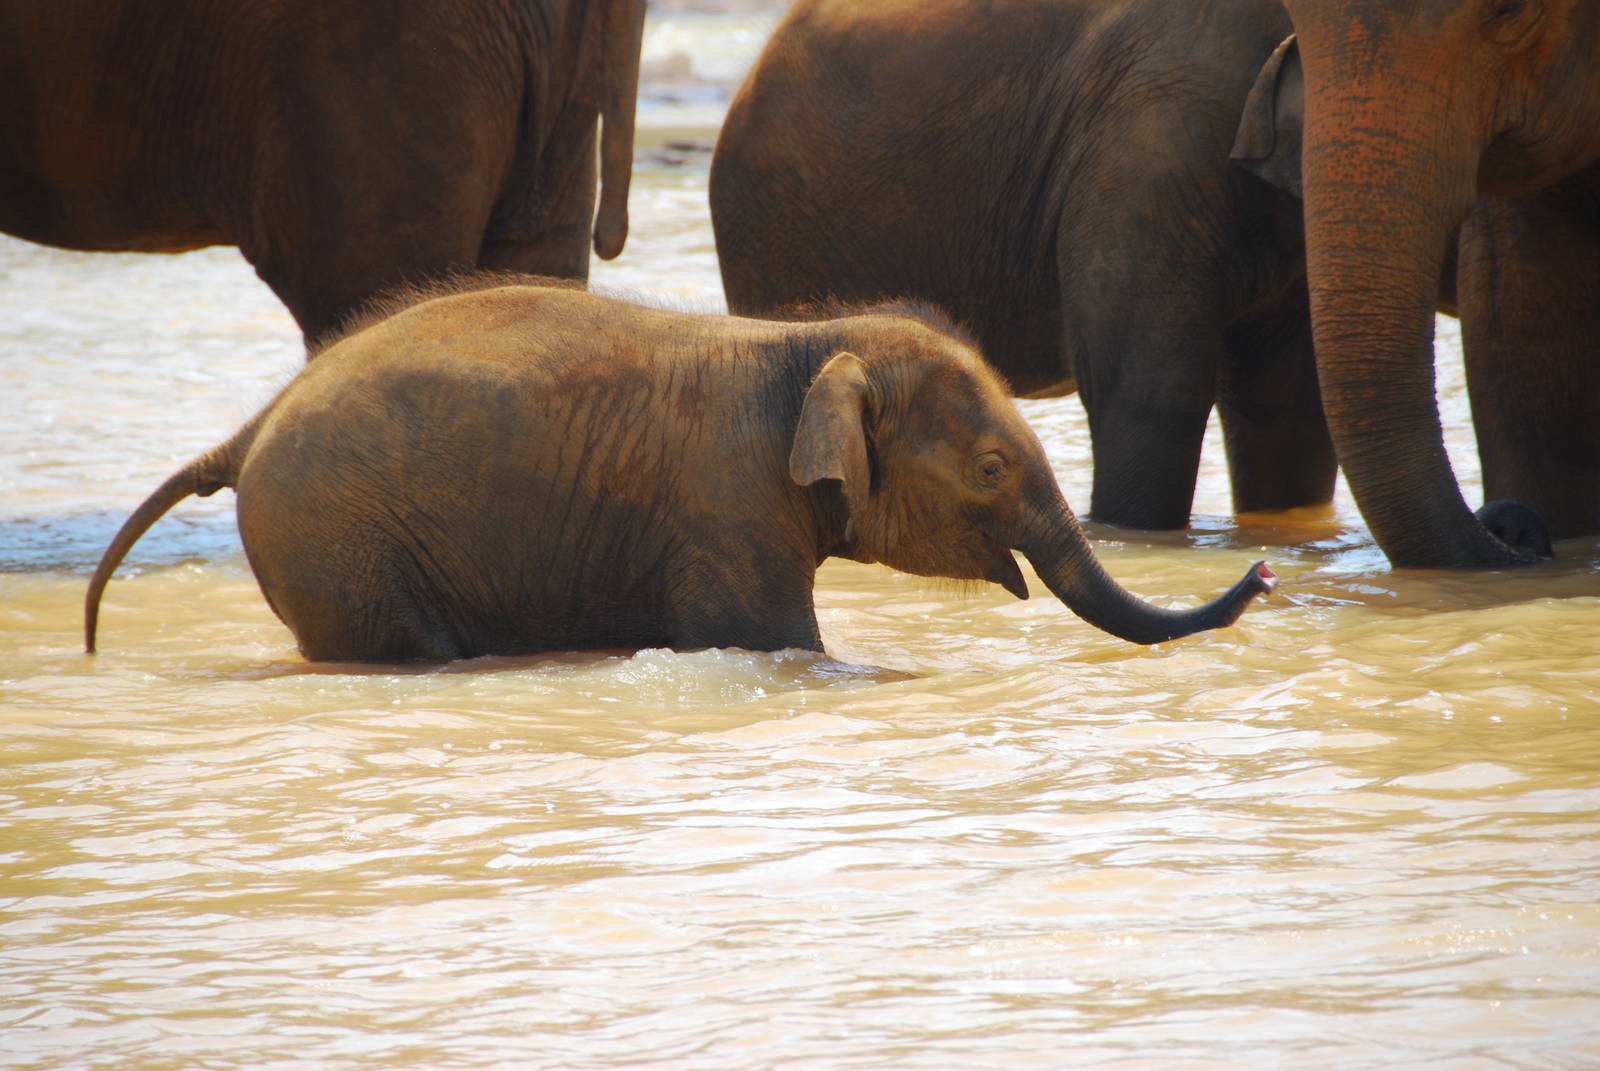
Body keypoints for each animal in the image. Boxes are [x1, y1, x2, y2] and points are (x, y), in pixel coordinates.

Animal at [84, 278, 1277, 662]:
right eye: (990, 467)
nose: (1266, 576)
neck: (807, 343)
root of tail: (245, 433)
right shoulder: (728, 512)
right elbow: (775, 643)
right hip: (338, 536)